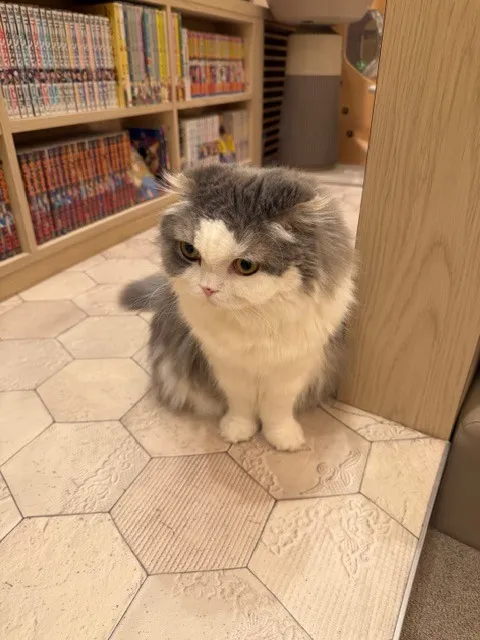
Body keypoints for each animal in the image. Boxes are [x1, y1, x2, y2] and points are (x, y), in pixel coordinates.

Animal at [120, 165, 355, 451]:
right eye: (189, 250)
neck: (254, 322)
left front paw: (284, 440)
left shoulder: (291, 371)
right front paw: (237, 431)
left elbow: (277, 412)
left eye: (245, 266)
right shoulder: (227, 368)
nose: (207, 289)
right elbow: (241, 406)